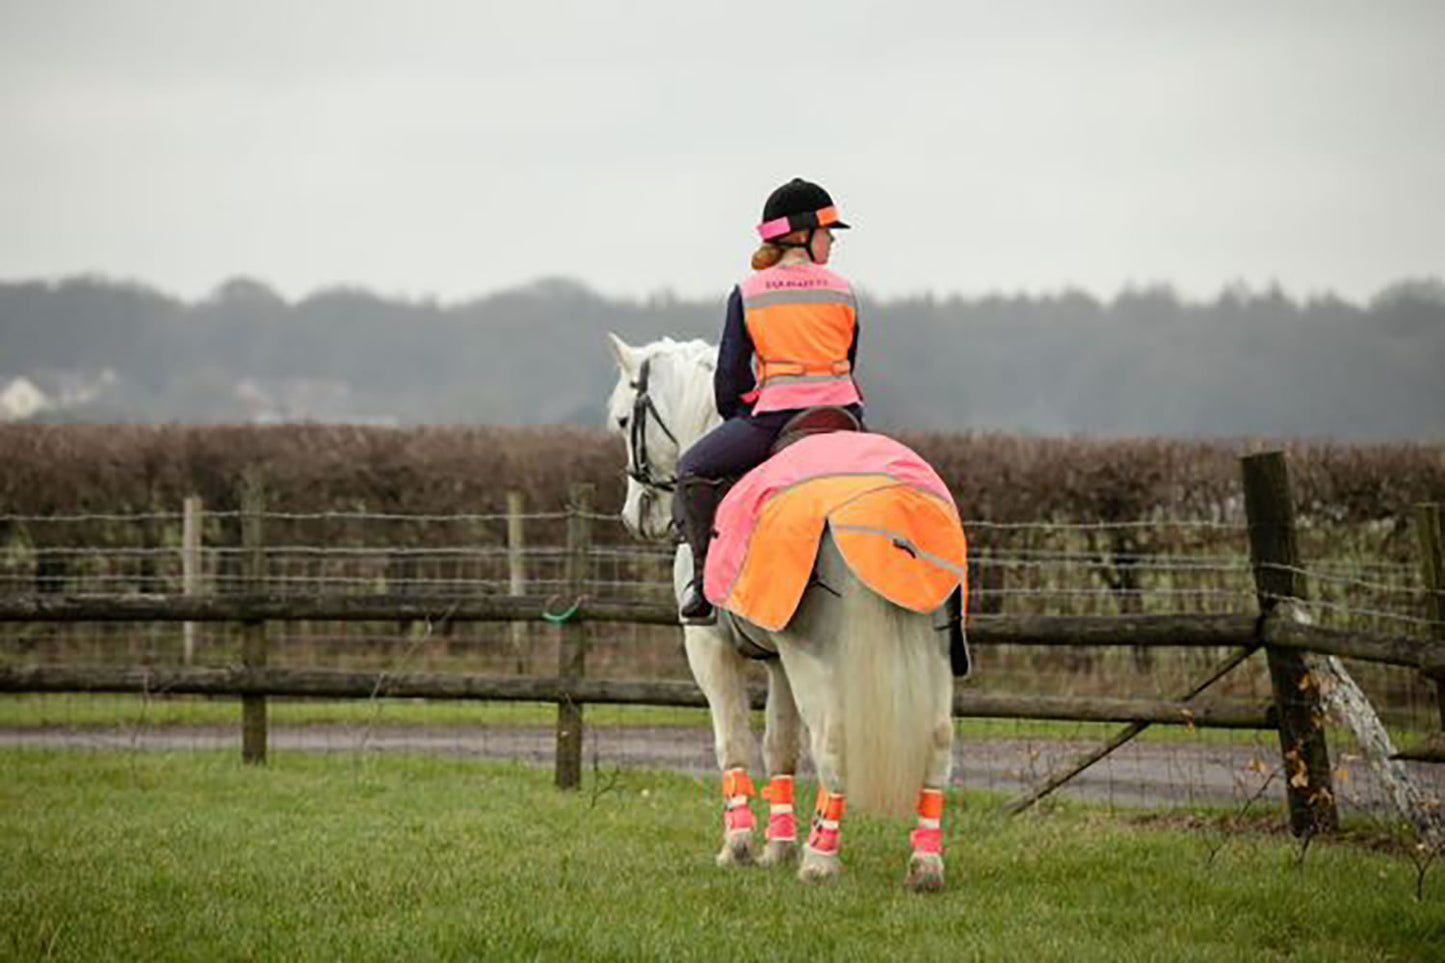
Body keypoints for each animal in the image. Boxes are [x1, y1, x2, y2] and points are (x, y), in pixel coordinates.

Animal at [609, 334, 959, 890]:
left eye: (624, 421)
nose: (633, 516)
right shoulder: (777, 662)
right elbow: (780, 747)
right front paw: (777, 847)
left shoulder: (710, 650)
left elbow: (733, 743)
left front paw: (739, 846)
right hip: (935, 651)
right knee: (938, 741)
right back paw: (925, 863)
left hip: (816, 658)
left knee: (834, 739)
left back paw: (820, 857)